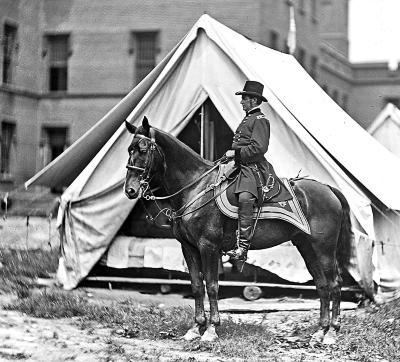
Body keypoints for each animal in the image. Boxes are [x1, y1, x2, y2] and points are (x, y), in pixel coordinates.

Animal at [123, 116, 352, 346]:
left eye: (143, 149)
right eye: (129, 149)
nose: (130, 190)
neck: (195, 188)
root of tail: (328, 188)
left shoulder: (208, 247)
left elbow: (212, 285)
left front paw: (211, 330)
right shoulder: (188, 247)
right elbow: (196, 286)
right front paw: (195, 328)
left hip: (324, 248)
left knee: (334, 283)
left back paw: (332, 332)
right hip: (307, 247)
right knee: (322, 285)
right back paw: (320, 331)